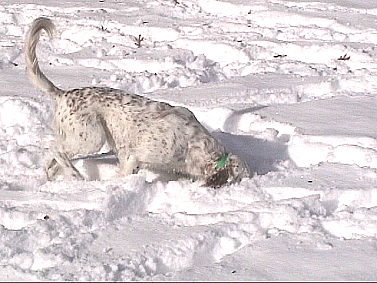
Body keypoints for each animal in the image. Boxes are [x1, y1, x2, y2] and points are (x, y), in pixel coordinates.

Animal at [25, 17, 251, 189]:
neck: (193, 144)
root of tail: (62, 94)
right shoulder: (134, 156)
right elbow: (125, 172)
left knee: (53, 158)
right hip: (91, 137)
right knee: (56, 149)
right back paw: (76, 177)